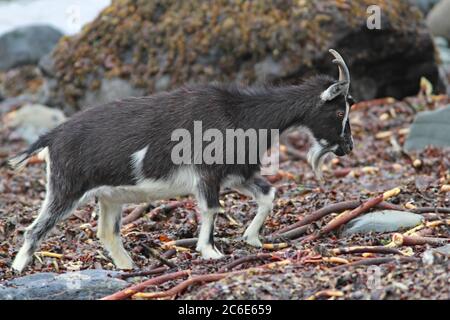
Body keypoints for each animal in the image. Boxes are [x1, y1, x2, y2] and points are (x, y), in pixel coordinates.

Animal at [8, 48, 354, 272]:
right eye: (339, 111)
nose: (348, 147)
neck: (240, 113)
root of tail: (52, 136)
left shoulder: (238, 175)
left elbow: (268, 195)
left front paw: (252, 239)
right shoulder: (208, 175)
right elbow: (212, 208)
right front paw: (210, 252)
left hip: (110, 196)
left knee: (107, 232)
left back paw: (128, 267)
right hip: (66, 188)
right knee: (35, 228)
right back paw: (19, 267)